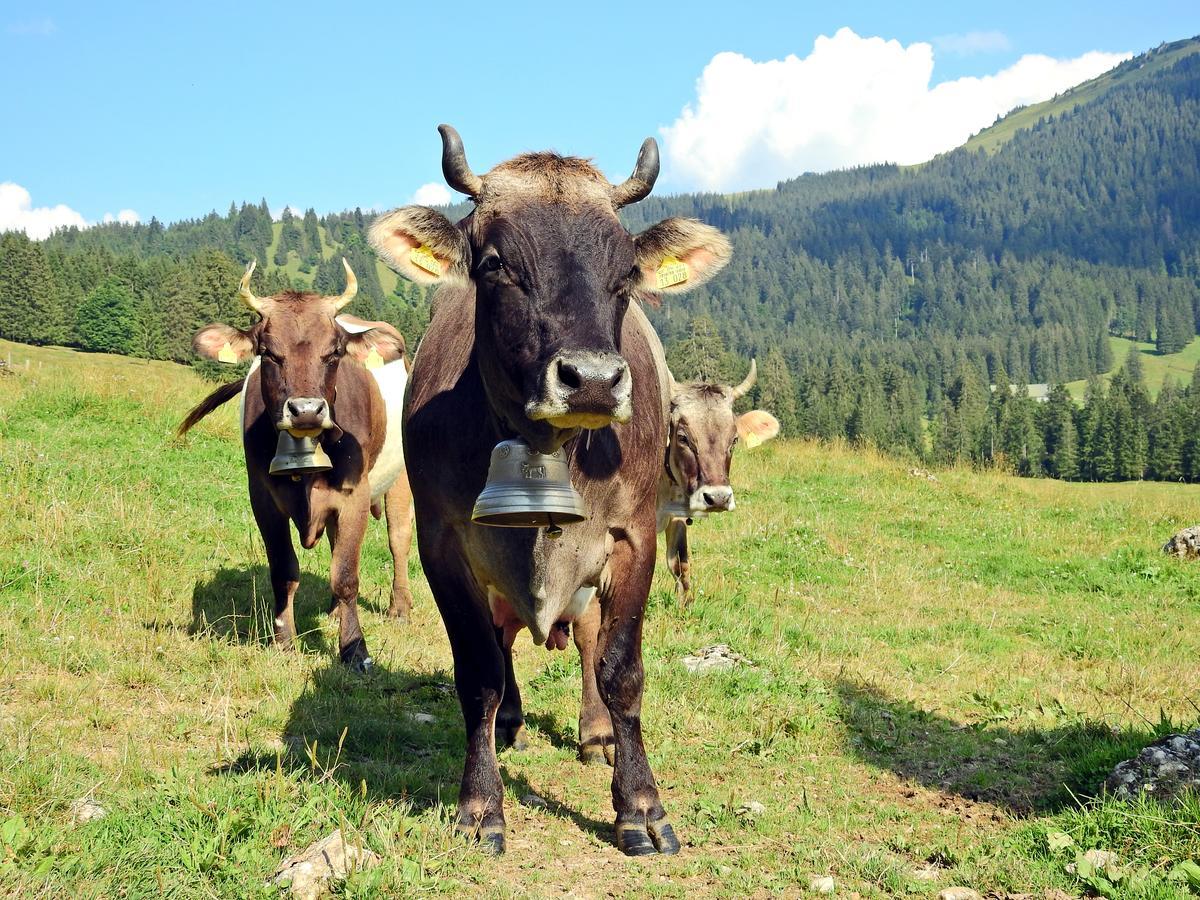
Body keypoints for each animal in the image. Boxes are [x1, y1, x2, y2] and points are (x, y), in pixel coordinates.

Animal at [178, 260, 412, 672]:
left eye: (334, 352)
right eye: (268, 353)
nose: (306, 410)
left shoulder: (355, 495)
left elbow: (346, 575)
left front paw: (354, 649)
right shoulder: (262, 498)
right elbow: (284, 571)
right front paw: (284, 639)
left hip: (400, 482)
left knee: (398, 540)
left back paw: (399, 608)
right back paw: (334, 612)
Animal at [369, 127, 729, 859]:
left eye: (625, 272)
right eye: (495, 263)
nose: (591, 378)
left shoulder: (636, 536)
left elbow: (621, 669)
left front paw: (640, 806)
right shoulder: (442, 541)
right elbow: (478, 670)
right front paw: (481, 805)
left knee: (587, 639)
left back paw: (594, 732)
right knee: (504, 641)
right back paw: (510, 720)